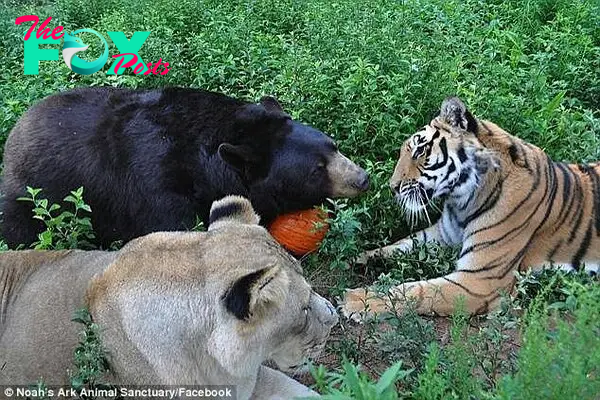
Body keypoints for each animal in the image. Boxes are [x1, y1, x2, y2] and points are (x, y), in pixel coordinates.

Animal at [342, 94, 600, 318]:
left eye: (421, 150)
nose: (392, 187)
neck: (461, 201)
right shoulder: (442, 234)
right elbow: (397, 246)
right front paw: (354, 258)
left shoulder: (481, 281)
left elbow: (417, 291)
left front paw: (357, 300)